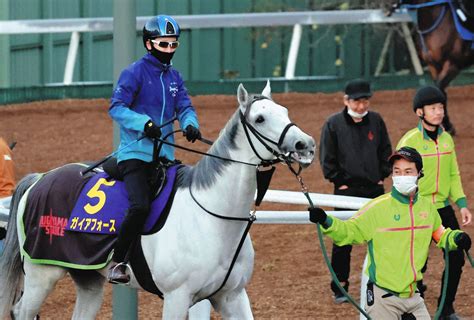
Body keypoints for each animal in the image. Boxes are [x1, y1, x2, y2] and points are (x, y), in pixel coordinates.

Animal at [0, 81, 318, 318]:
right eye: (259, 119)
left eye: (285, 111)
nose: (306, 145)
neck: (212, 217)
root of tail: (39, 179)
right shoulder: (177, 297)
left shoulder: (233, 297)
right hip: (41, 276)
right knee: (19, 310)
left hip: (88, 281)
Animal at [388, 0, 474, 134]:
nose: (389, 8)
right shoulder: (434, 65)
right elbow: (438, 91)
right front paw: (446, 124)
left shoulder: (453, 64)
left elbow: (439, 88)